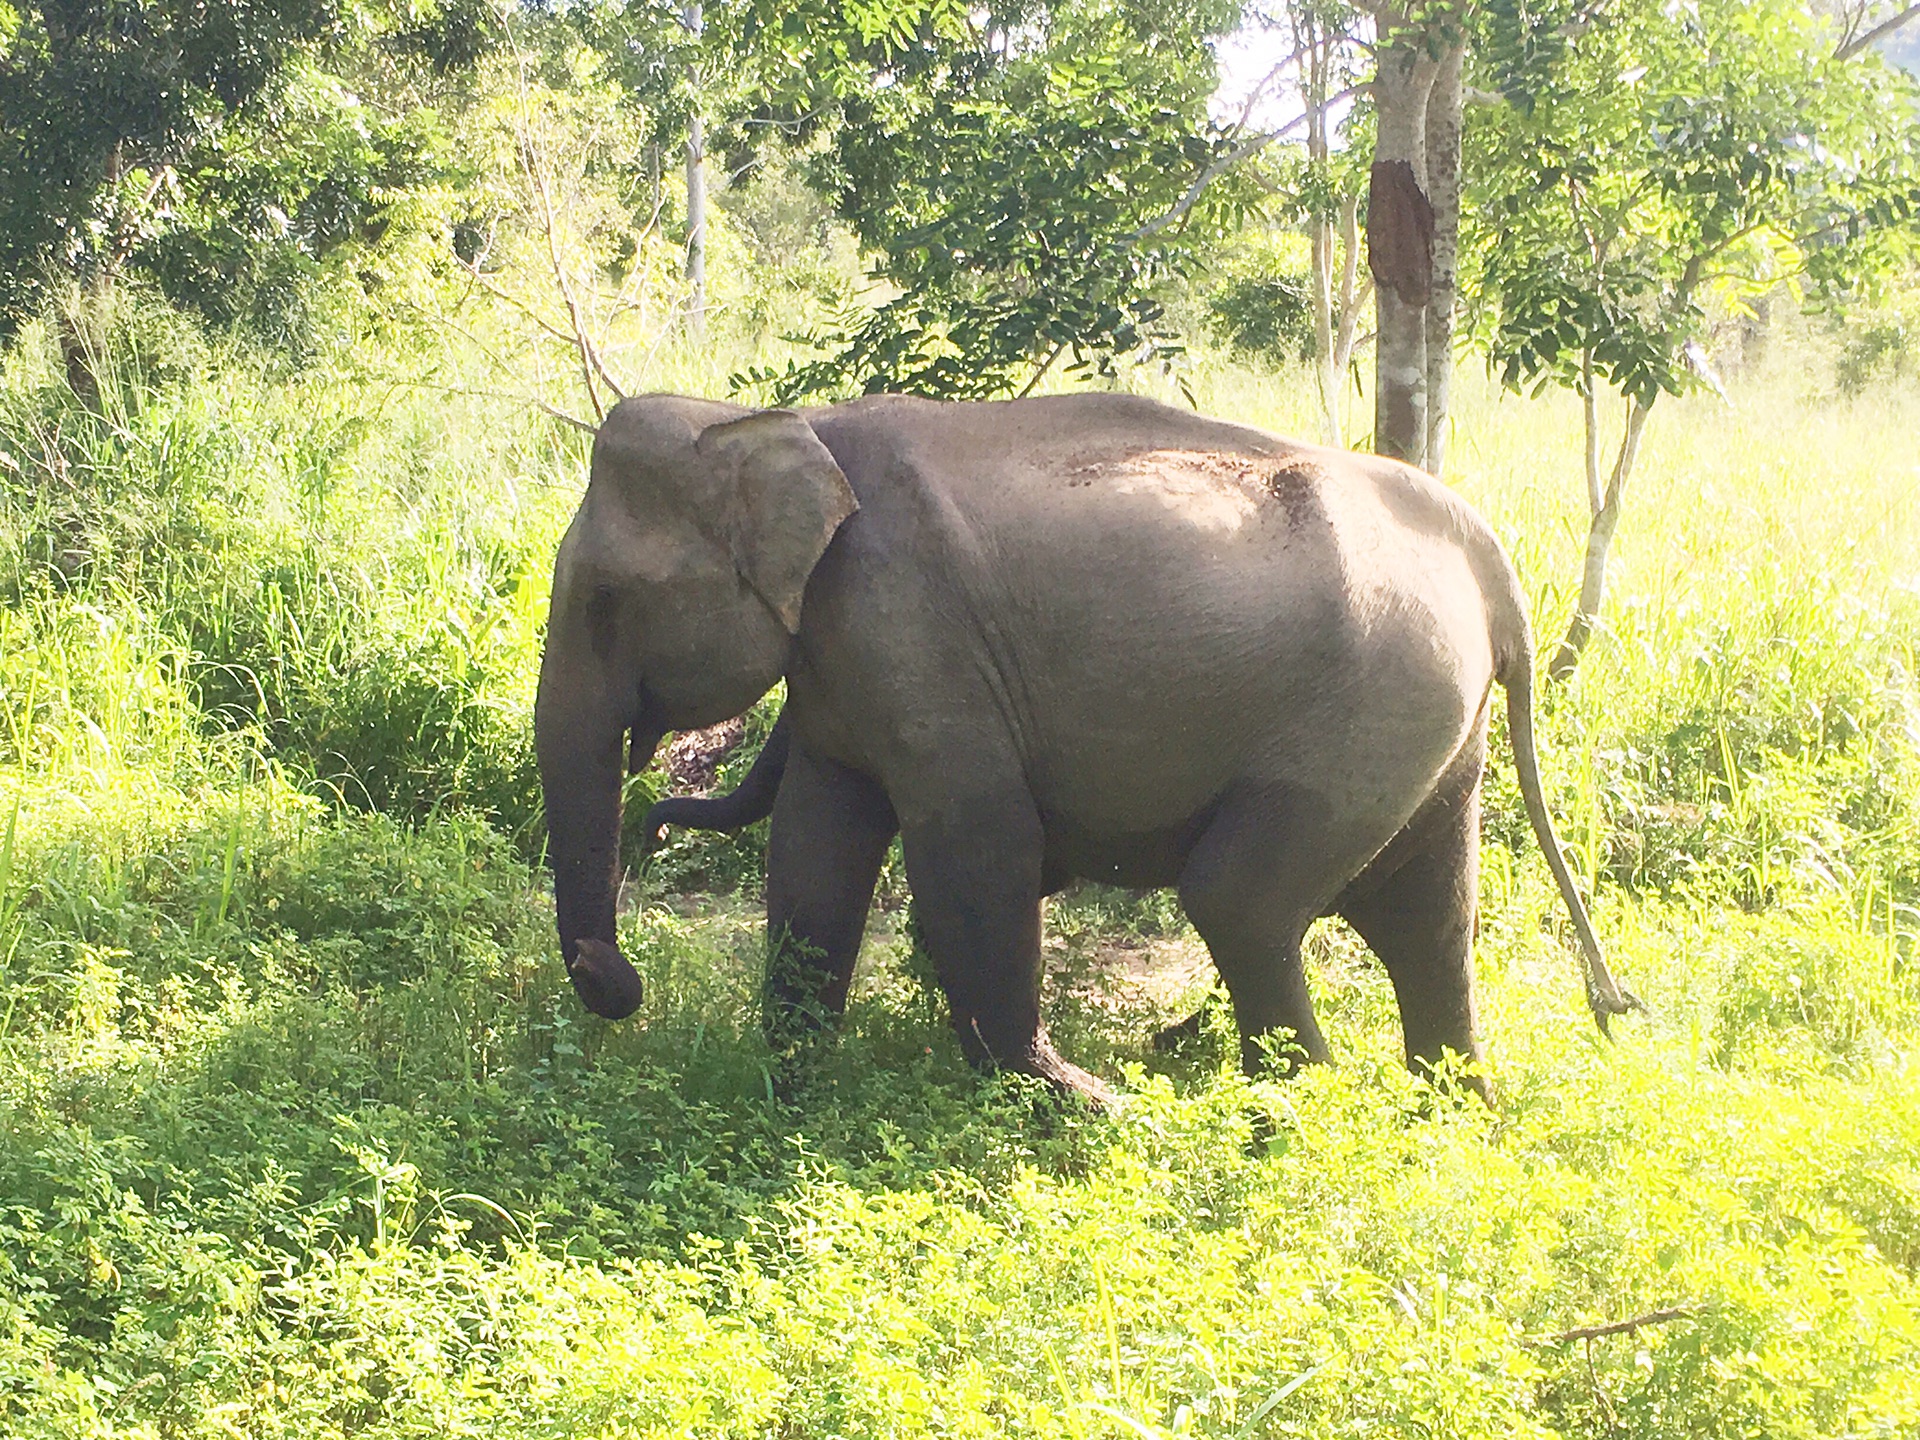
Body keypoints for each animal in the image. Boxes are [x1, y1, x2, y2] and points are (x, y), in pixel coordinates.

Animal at [533, 389, 1643, 1098]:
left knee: (1242, 899)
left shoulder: (915, 635)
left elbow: (975, 847)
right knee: (1427, 916)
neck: (779, 423)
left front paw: (1072, 1099)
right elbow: (815, 849)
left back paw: (1293, 1129)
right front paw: (787, 1082)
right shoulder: (846, 666)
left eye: (607, 603)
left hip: (1368, 711)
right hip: (1429, 726)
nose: (618, 984)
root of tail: (1486, 554)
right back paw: (1446, 1129)